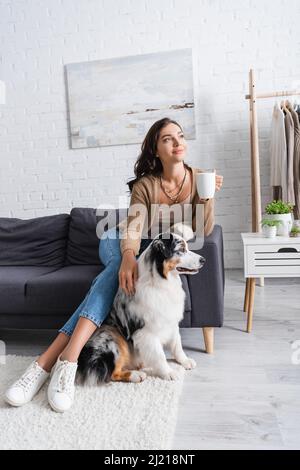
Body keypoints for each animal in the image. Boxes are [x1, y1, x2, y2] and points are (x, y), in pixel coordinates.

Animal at [76, 229, 205, 386]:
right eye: (181, 249)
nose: (203, 260)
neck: (160, 283)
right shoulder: (146, 332)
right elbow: (160, 355)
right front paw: (169, 373)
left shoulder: (171, 321)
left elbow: (177, 345)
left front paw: (185, 361)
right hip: (112, 337)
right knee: (112, 373)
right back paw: (136, 375)